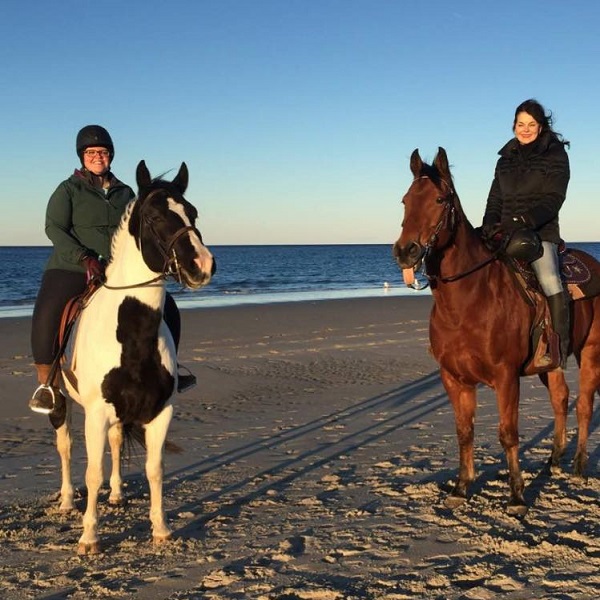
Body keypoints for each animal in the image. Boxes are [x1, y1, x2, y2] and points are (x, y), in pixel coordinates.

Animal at [56, 159, 214, 552]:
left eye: (192, 213)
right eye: (155, 217)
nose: (202, 265)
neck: (131, 334)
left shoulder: (160, 411)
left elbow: (154, 469)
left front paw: (161, 529)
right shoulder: (96, 413)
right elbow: (91, 472)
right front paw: (89, 537)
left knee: (114, 442)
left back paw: (116, 495)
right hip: (62, 397)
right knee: (64, 444)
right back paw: (66, 501)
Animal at [394, 146, 600, 516]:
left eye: (440, 199)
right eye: (405, 200)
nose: (406, 251)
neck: (469, 301)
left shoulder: (506, 377)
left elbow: (508, 433)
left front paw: (516, 496)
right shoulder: (454, 378)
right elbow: (464, 432)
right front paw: (461, 488)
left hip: (591, 353)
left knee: (584, 405)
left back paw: (578, 466)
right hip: (551, 363)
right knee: (560, 399)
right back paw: (554, 460)